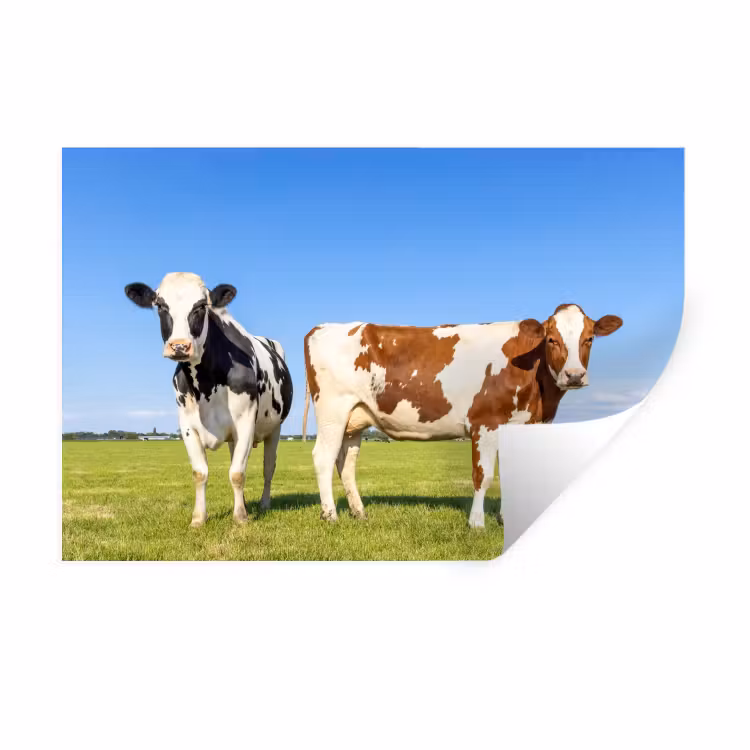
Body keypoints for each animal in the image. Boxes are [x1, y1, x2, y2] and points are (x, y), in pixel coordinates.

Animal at [125, 272, 293, 527]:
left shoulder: (245, 422)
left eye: (201, 306)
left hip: (274, 429)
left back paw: (264, 503)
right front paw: (198, 518)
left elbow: (237, 473)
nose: (179, 346)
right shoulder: (187, 426)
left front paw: (240, 517)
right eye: (160, 305)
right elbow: (200, 473)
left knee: (268, 467)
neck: (205, 383)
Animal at [303, 304, 622, 528]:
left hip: (355, 418)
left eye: (589, 338)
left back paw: (359, 513)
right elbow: (483, 476)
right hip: (333, 410)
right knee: (323, 458)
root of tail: (322, 327)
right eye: (552, 339)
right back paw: (330, 515)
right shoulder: (486, 423)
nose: (574, 375)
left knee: (346, 463)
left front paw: (505, 519)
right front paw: (477, 523)